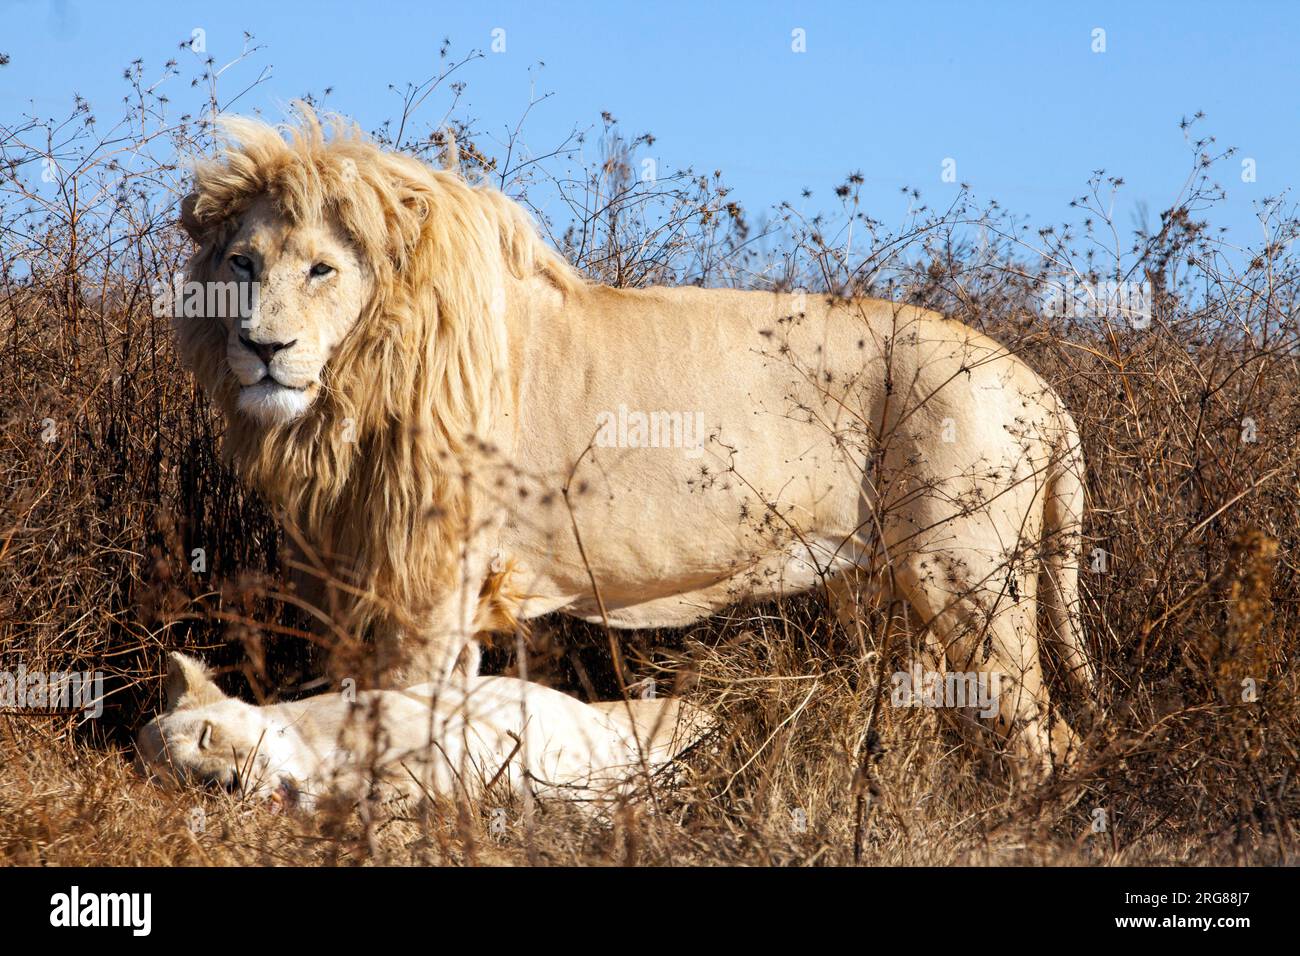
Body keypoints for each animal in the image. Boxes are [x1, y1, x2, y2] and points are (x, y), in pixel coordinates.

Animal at [175, 105, 1096, 778]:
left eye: (322, 269)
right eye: (242, 263)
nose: (260, 347)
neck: (355, 381)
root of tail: (1041, 388)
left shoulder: (435, 584)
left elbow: (405, 717)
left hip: (965, 574)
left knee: (1046, 733)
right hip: (897, 589)